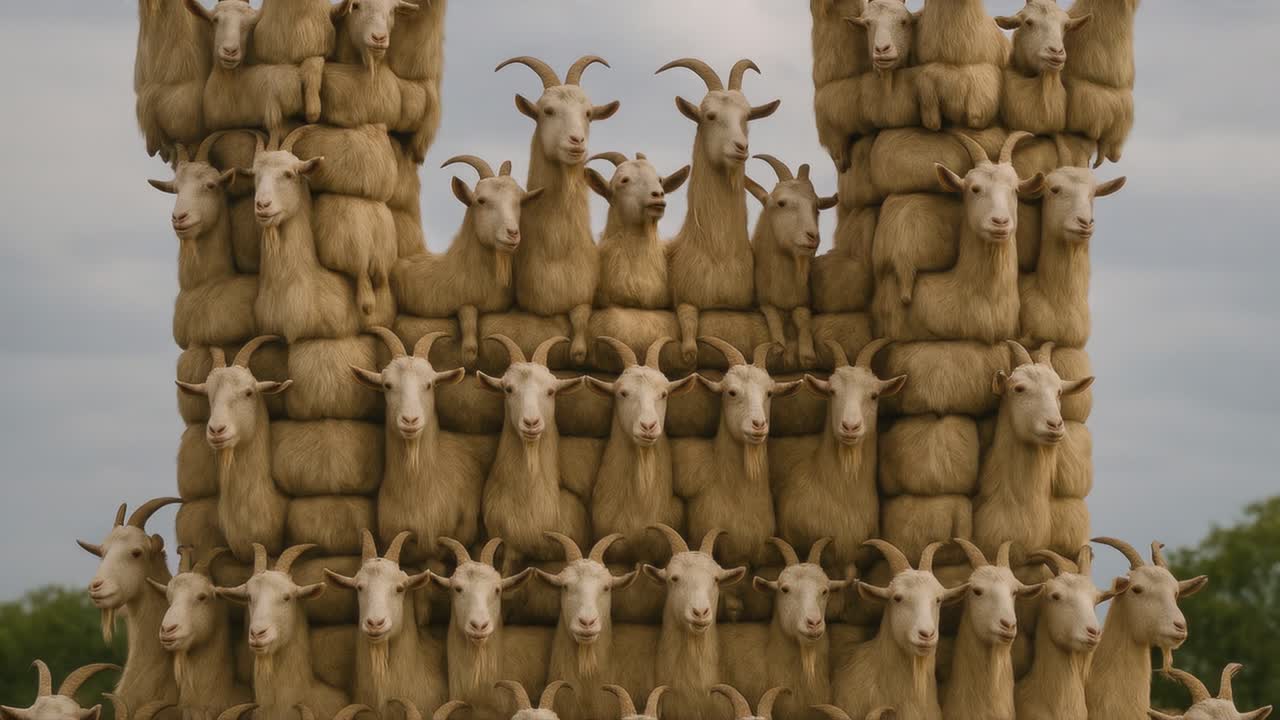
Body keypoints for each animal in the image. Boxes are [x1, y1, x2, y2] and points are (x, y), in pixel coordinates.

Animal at [497, 55, 620, 364]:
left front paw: (578, 350)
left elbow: (580, 314)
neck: (557, 251)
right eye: (547, 110)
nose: (576, 142)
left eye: (588, 113)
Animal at [747, 155, 837, 367]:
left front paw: (807, 354)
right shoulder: (762, 301)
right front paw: (779, 346)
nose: (813, 237)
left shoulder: (803, 302)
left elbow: (802, 317)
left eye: (817, 207)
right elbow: (771, 311)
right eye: (781, 203)